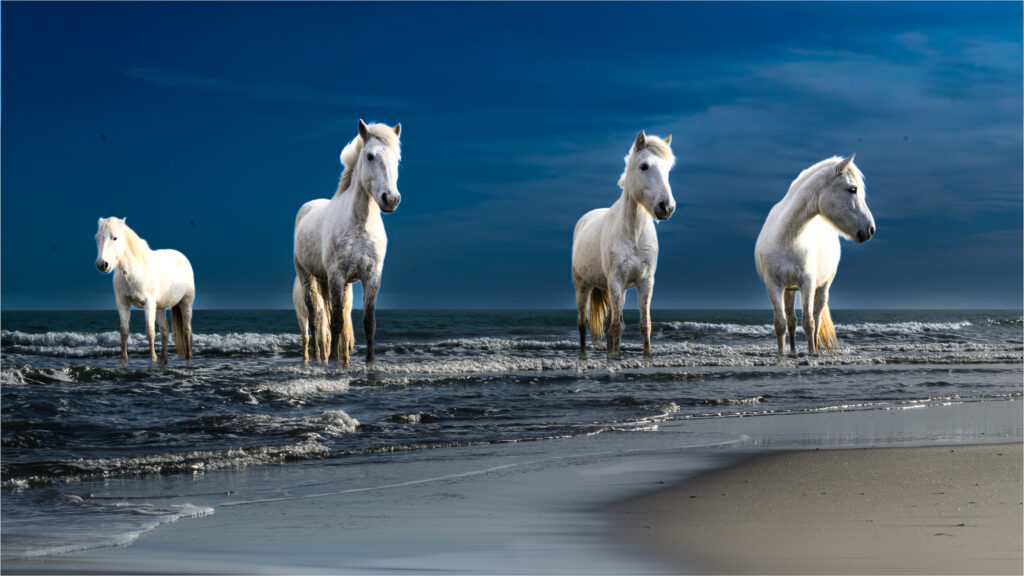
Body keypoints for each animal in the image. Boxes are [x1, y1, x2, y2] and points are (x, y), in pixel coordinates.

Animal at [94, 217, 195, 365]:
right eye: (97, 238)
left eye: (115, 238)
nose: (102, 264)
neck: (133, 272)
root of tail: (181, 257)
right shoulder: (123, 305)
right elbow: (124, 332)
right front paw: (123, 359)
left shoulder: (148, 305)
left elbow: (150, 332)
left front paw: (153, 359)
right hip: (159, 308)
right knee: (165, 331)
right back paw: (164, 360)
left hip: (185, 303)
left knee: (187, 330)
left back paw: (188, 358)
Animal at [293, 119, 401, 367]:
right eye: (370, 156)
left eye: (398, 159)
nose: (390, 199)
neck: (361, 226)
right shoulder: (337, 275)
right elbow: (334, 322)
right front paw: (332, 360)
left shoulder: (371, 276)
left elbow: (367, 321)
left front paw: (370, 360)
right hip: (308, 277)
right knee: (316, 320)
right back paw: (321, 359)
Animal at [572, 130, 676, 358]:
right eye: (644, 166)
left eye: (668, 169)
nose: (666, 207)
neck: (634, 235)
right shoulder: (616, 282)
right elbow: (617, 326)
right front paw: (617, 357)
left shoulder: (645, 282)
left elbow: (644, 325)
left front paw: (646, 357)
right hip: (583, 286)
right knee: (582, 323)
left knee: (608, 322)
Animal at [754, 154, 875, 357]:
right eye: (852, 189)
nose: (870, 230)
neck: (787, 238)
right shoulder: (773, 285)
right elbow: (781, 324)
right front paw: (781, 355)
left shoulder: (808, 283)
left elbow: (809, 322)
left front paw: (812, 353)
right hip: (789, 290)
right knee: (791, 320)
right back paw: (793, 351)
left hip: (822, 287)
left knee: (816, 319)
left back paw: (816, 349)